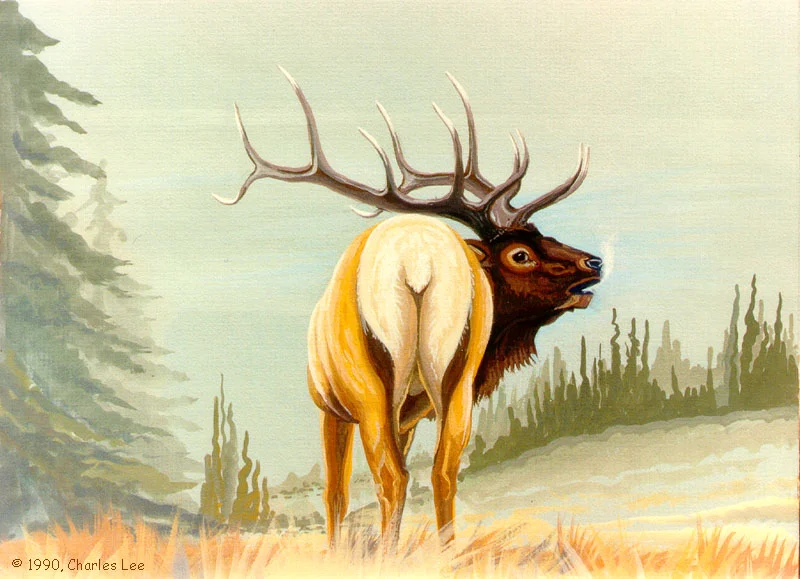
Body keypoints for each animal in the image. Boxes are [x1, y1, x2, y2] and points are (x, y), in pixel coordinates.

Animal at [215, 69, 603, 549]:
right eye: (520, 253)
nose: (594, 262)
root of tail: (419, 261)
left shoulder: (335, 406)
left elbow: (337, 491)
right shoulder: (393, 411)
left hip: (372, 385)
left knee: (394, 476)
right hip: (451, 377)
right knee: (441, 471)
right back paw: (442, 551)